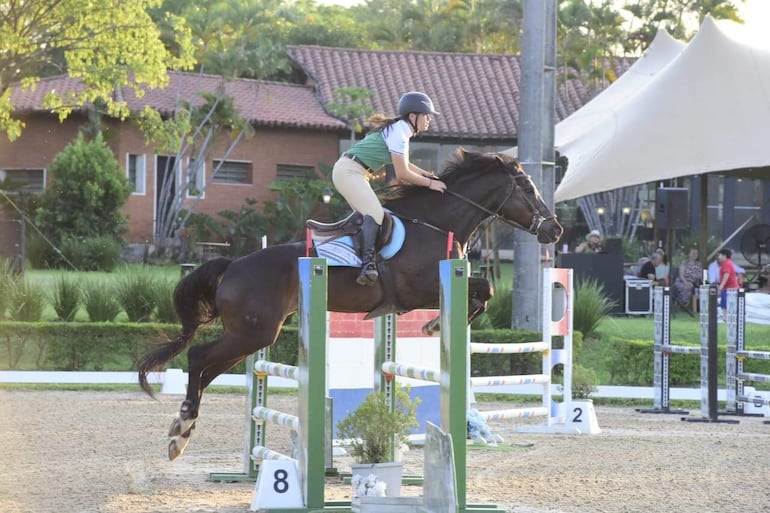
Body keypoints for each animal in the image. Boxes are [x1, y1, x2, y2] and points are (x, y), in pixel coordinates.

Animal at [136, 149, 560, 460]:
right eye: (527, 187)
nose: (555, 230)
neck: (434, 224)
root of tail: (233, 265)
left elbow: (483, 292)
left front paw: (436, 324)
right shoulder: (422, 289)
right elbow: (484, 290)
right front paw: (435, 325)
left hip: (252, 336)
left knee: (208, 369)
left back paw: (182, 430)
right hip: (253, 333)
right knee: (198, 359)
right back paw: (182, 427)